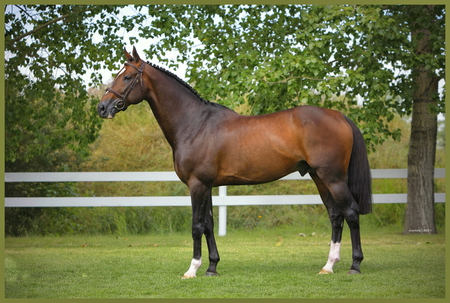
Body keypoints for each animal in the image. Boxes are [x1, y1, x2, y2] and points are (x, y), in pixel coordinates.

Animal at [97, 47, 372, 278]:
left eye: (127, 77)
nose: (102, 107)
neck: (194, 124)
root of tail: (339, 116)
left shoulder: (197, 185)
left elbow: (197, 226)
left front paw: (192, 270)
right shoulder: (206, 186)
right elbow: (209, 225)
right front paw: (212, 268)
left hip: (333, 178)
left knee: (351, 213)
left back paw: (355, 265)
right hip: (319, 177)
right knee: (335, 216)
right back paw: (328, 266)